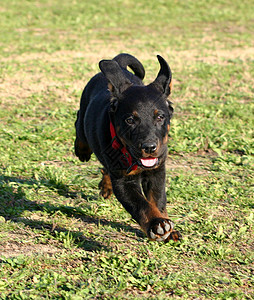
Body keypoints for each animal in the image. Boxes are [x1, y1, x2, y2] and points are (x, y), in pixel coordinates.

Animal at [75, 53, 181, 241]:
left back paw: (106, 187)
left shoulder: (157, 171)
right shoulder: (123, 181)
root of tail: (119, 63)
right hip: (84, 118)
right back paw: (82, 151)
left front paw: (168, 229)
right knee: (79, 124)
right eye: (130, 120)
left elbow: (158, 200)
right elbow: (141, 205)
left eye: (160, 117)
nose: (149, 147)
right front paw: (157, 224)